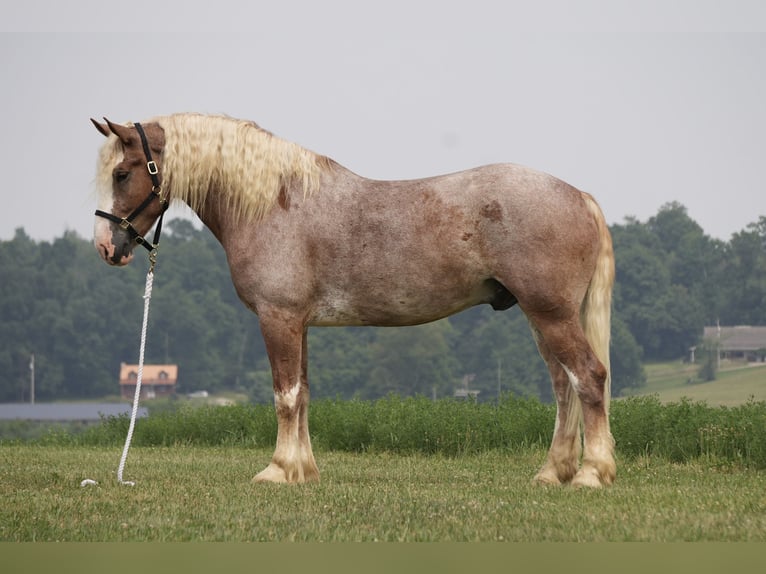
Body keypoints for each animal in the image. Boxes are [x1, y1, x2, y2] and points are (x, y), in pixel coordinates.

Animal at [91, 113, 615, 488]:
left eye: (122, 173)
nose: (106, 247)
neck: (275, 202)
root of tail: (579, 196)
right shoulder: (298, 324)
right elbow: (302, 394)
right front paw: (303, 471)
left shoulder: (278, 319)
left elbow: (285, 396)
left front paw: (277, 470)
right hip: (541, 317)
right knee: (563, 386)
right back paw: (553, 473)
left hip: (551, 314)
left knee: (588, 378)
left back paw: (592, 473)